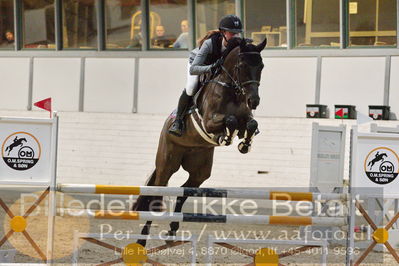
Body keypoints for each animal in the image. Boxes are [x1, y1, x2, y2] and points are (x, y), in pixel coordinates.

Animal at [133, 37, 268, 245]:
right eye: (242, 66)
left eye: (261, 66)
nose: (254, 101)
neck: (232, 90)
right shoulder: (208, 122)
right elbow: (230, 120)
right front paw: (225, 136)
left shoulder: (246, 119)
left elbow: (251, 124)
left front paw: (244, 144)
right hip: (167, 162)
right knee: (158, 191)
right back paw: (142, 239)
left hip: (200, 168)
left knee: (184, 191)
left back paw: (172, 231)